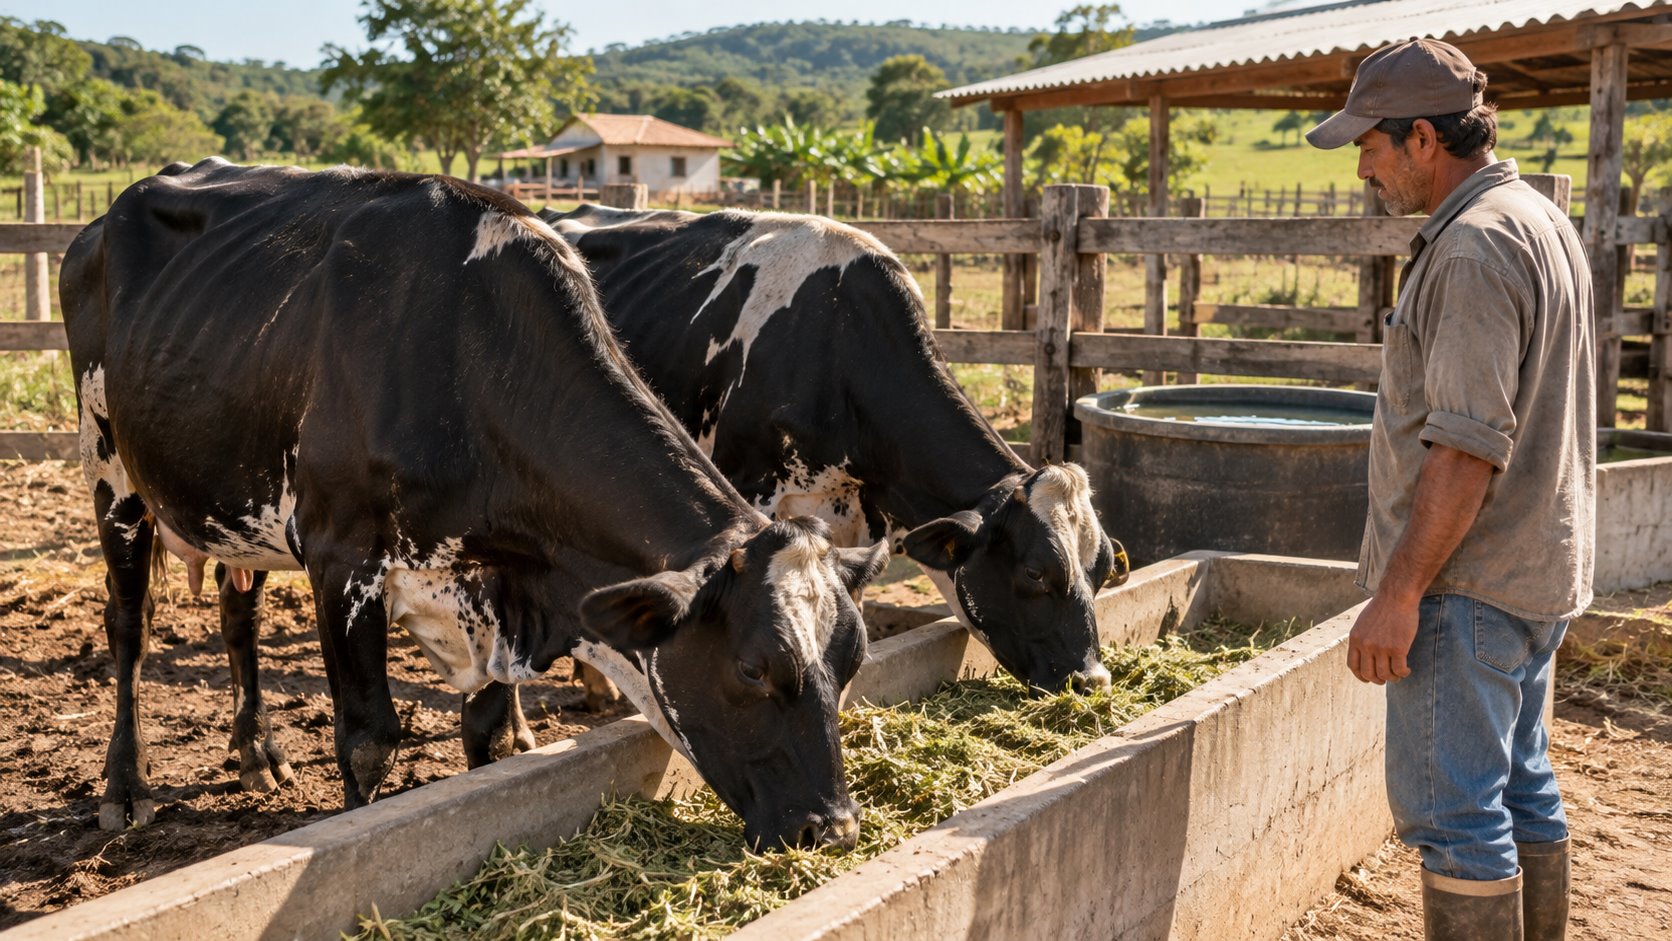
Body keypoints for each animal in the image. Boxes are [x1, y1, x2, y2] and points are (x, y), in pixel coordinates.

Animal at [60, 159, 886, 850]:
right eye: (753, 667)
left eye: (851, 660)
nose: (833, 827)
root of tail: (112, 211)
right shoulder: (340, 558)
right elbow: (368, 741)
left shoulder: (493, 584)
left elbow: (486, 734)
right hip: (112, 470)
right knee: (128, 625)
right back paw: (125, 786)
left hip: (238, 502)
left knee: (240, 615)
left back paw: (257, 750)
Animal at [545, 205, 1130, 694]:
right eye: (1034, 572)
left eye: (1102, 569)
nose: (1093, 679)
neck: (836, 336)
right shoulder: (750, 495)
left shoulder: (863, 516)